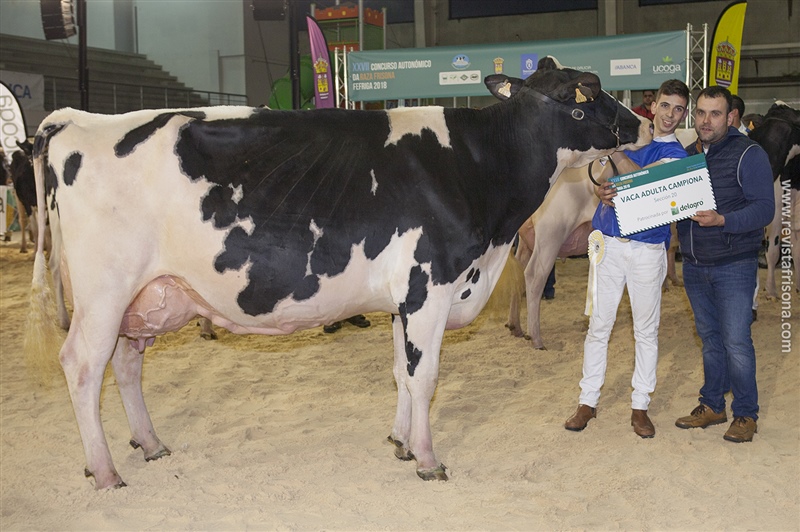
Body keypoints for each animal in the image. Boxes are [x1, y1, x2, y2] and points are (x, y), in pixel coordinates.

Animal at [28, 59, 648, 490]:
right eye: (588, 90)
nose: (639, 121)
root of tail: (75, 121)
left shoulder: (404, 298)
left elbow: (401, 374)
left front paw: (400, 441)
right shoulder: (429, 287)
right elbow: (425, 377)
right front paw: (428, 460)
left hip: (147, 297)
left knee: (126, 364)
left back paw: (149, 442)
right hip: (104, 291)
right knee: (82, 366)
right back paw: (105, 470)